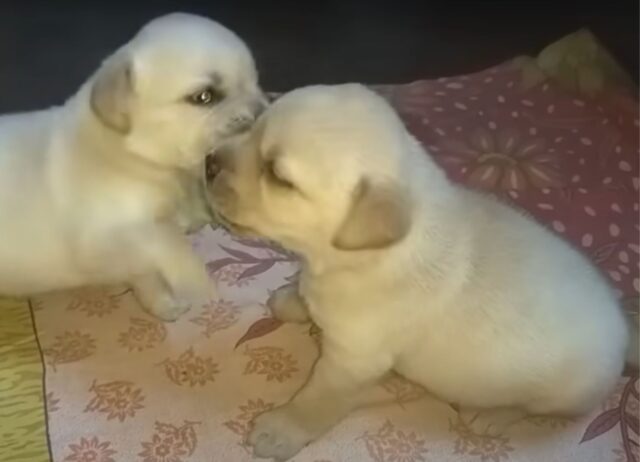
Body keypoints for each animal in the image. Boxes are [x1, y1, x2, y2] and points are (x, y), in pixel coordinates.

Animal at [0, 11, 264, 322]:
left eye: (255, 80)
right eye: (204, 97)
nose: (264, 112)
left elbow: (151, 273)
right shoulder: (116, 234)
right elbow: (170, 244)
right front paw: (197, 284)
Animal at [206, 85, 636, 460]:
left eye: (278, 176)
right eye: (253, 126)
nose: (208, 161)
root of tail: (623, 329)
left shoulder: (353, 361)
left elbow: (317, 399)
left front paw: (281, 430)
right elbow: (307, 294)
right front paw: (293, 301)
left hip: (564, 393)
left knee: (531, 407)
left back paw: (490, 415)